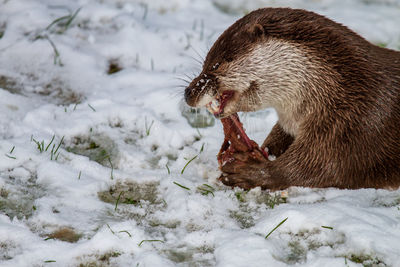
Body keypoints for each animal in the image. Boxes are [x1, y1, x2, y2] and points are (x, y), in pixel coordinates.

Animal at [184, 7, 400, 191]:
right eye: (205, 63)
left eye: (217, 65)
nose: (188, 92)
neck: (344, 87)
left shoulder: (353, 127)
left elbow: (317, 167)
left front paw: (249, 172)